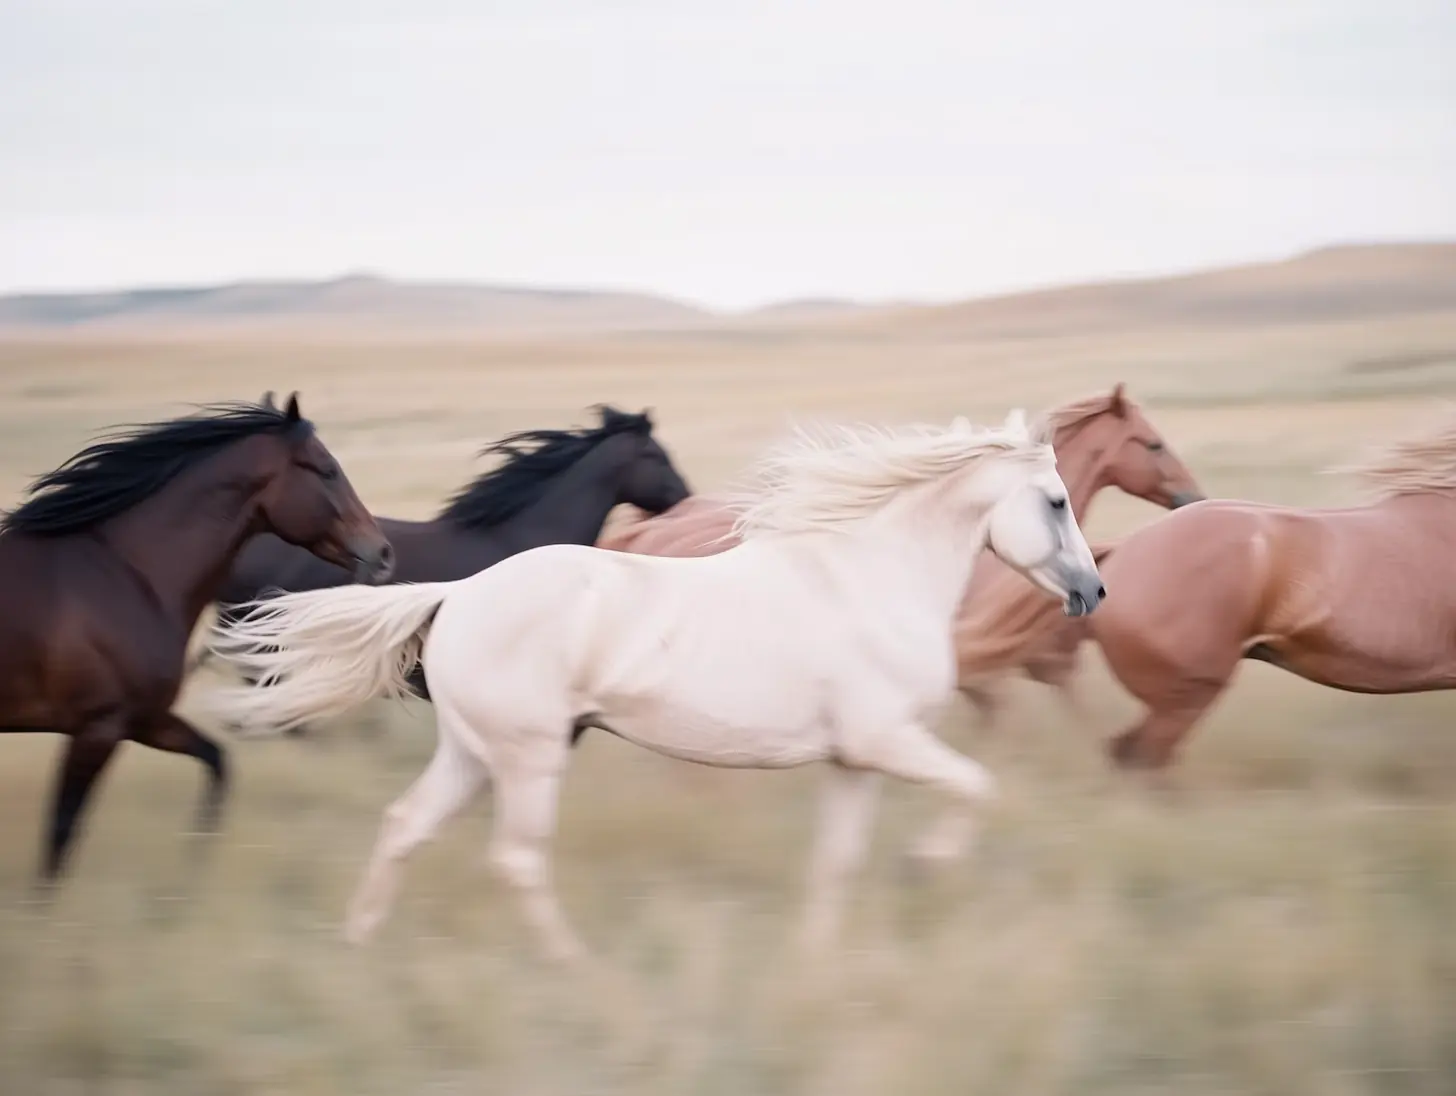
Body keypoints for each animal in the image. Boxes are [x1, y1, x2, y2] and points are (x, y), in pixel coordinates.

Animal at [0, 393, 392, 884]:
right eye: (326, 470)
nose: (382, 554)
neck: (128, 573)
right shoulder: (98, 727)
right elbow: (60, 832)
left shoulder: (144, 720)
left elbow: (216, 762)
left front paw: (189, 875)